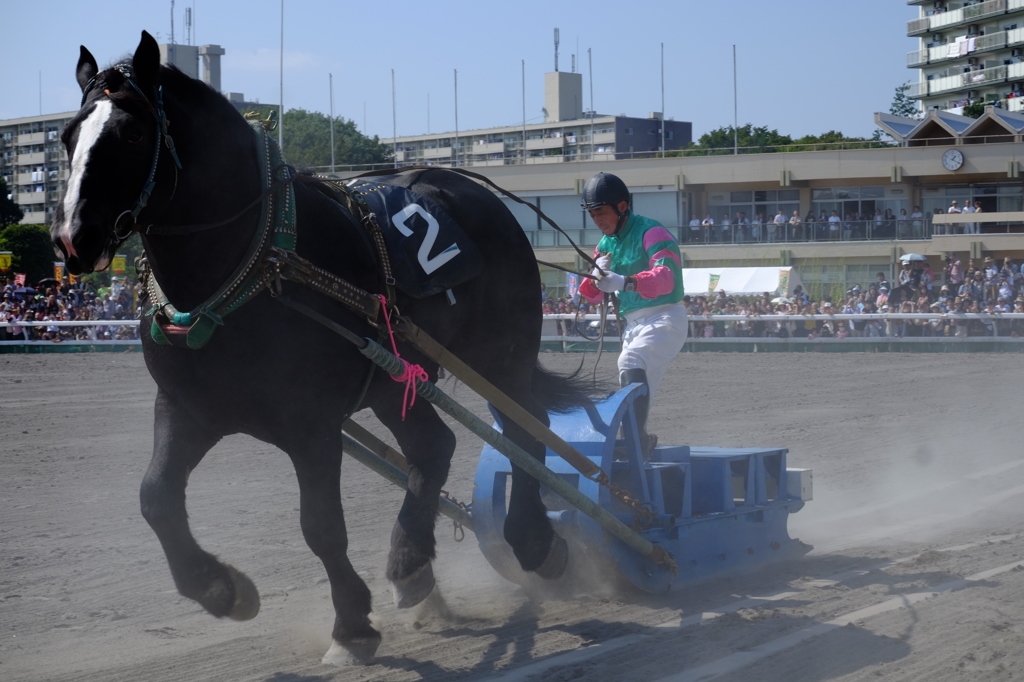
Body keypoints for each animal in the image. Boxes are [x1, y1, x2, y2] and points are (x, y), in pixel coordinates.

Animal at [54, 31, 585, 663]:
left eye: (132, 134)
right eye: (67, 136)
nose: (71, 238)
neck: (251, 267)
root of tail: (472, 191)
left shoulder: (312, 424)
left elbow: (321, 526)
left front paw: (352, 626)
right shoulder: (188, 408)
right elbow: (155, 499)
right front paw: (220, 589)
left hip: (500, 355)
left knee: (526, 429)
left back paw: (531, 542)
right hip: (394, 377)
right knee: (434, 448)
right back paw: (411, 563)